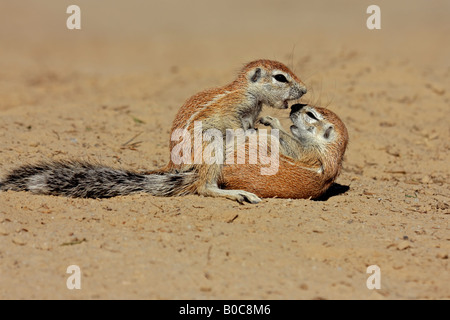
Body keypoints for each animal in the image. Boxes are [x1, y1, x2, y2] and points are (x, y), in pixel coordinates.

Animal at [0, 59, 306, 202]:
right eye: (280, 77)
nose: (304, 90)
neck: (248, 93)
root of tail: (172, 165)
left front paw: (266, 126)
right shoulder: (229, 112)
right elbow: (234, 125)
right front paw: (256, 133)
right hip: (209, 147)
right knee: (203, 186)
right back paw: (236, 194)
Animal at [220, 104, 350, 199]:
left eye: (310, 114)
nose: (294, 106)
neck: (329, 149)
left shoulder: (312, 152)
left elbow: (294, 146)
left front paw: (273, 121)